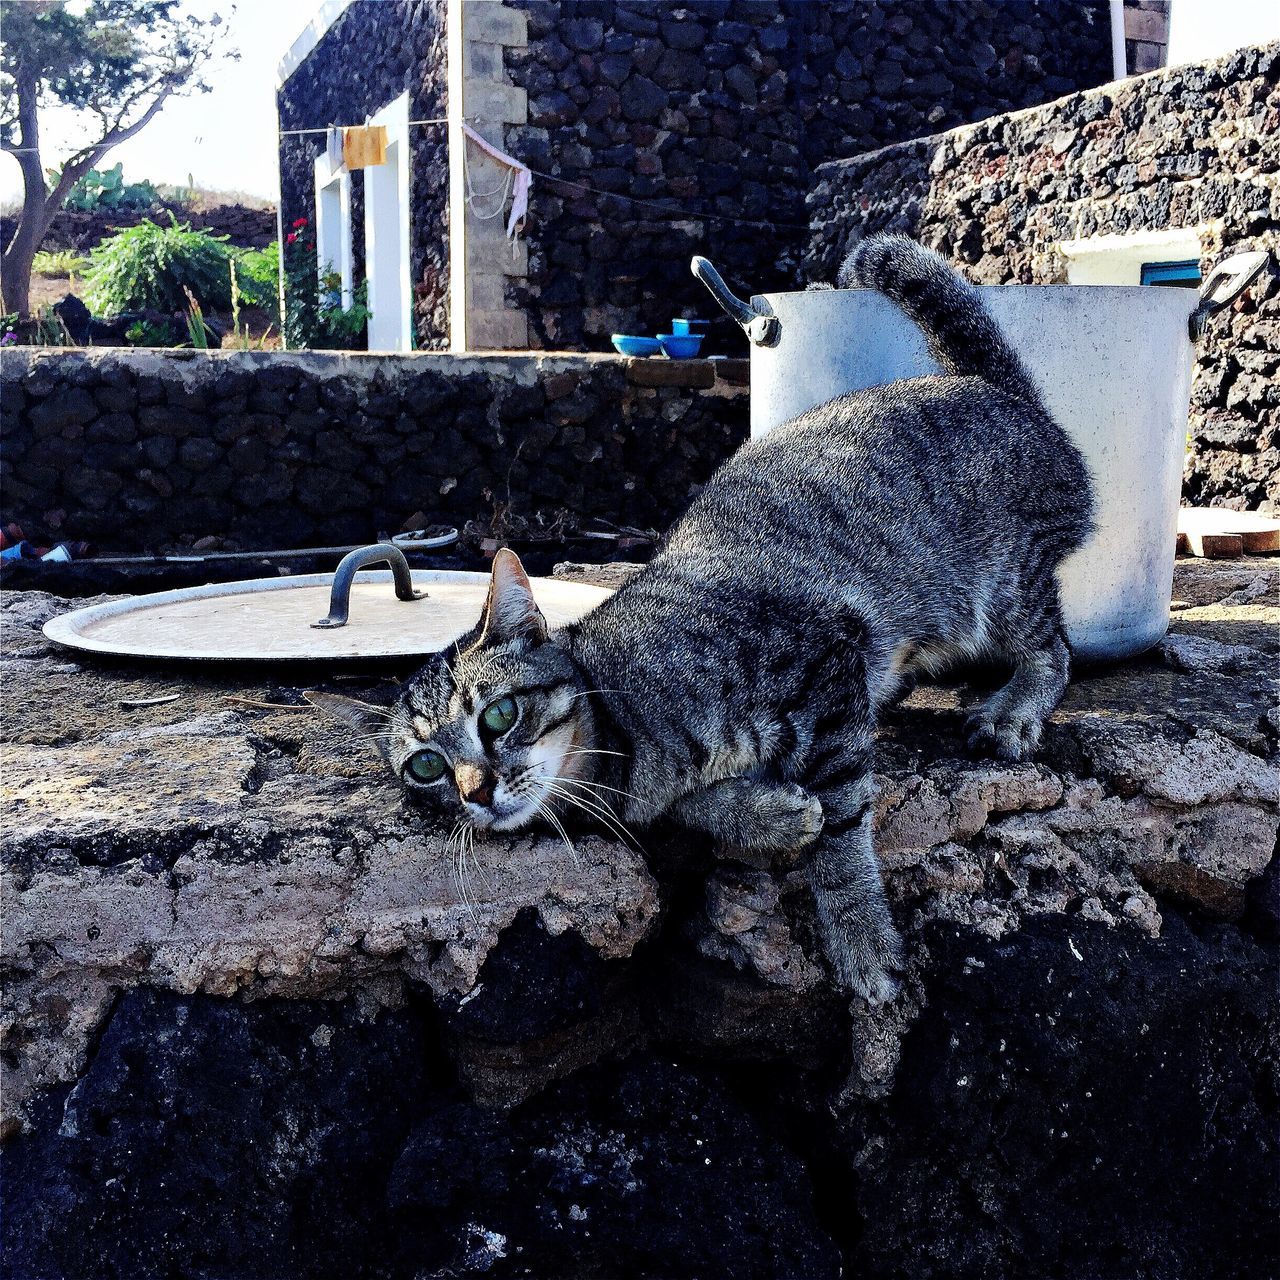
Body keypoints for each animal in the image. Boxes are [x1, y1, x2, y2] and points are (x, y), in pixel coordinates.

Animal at [314, 235, 1095, 1003]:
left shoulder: (827, 660)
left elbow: (842, 826)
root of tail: (993, 390)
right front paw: (766, 812)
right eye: (425, 767)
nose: (476, 793)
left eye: (499, 716)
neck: (625, 738)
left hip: (998, 586)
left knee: (1053, 646)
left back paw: (1015, 706)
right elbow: (691, 809)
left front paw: (860, 936)